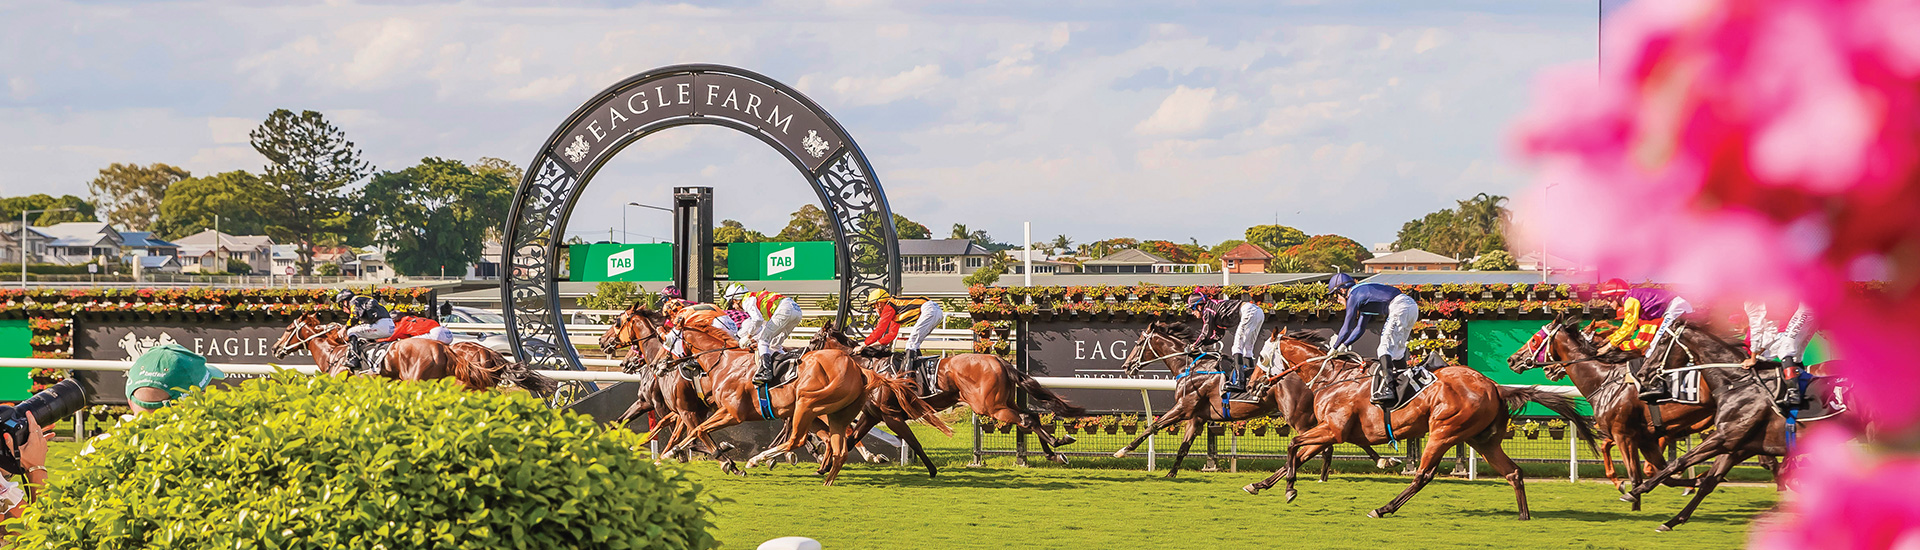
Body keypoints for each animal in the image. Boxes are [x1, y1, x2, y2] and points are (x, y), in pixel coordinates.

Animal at [1236, 330, 1597, 519]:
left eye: (1263, 357)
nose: (1252, 386)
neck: (1334, 377)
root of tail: (1494, 386)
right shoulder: (1334, 432)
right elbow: (1298, 453)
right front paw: (1261, 484)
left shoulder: (1333, 430)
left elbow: (1293, 447)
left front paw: (1289, 488)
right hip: (1483, 440)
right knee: (1513, 472)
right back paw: (1523, 516)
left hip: (1444, 431)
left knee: (1423, 475)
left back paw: (1383, 508)